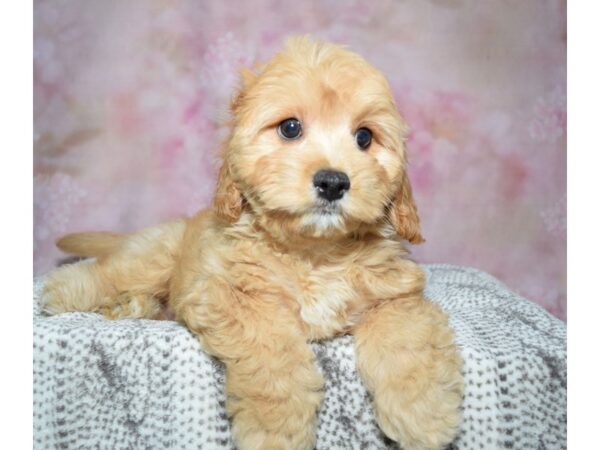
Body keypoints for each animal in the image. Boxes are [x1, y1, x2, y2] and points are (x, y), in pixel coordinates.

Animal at [42, 36, 464, 450]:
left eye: (364, 137)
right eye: (290, 128)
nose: (332, 182)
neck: (314, 253)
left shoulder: (396, 295)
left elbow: (406, 340)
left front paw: (422, 413)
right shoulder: (227, 295)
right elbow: (272, 353)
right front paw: (277, 428)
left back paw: (130, 306)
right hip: (154, 258)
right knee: (109, 272)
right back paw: (67, 290)